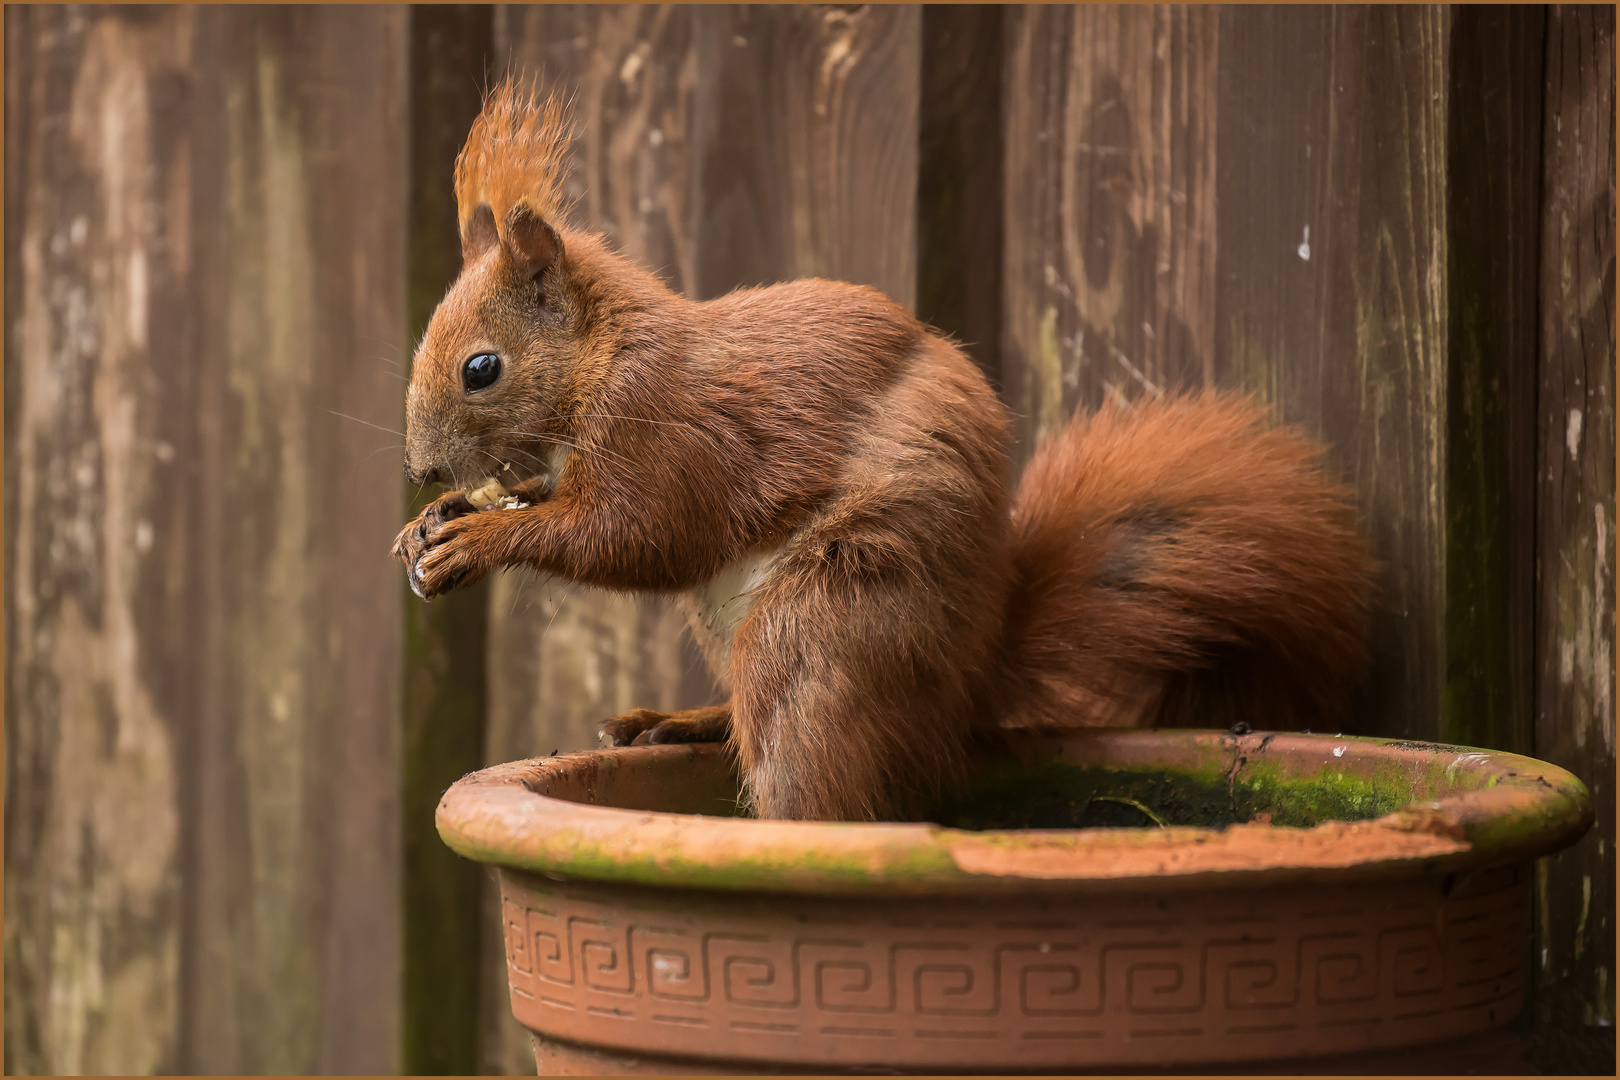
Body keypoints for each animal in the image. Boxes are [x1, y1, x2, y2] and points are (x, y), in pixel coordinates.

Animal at [388, 84, 1367, 822]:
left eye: (482, 368)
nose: (422, 470)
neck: (600, 362)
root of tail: (966, 683)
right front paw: (432, 523)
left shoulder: (666, 430)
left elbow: (634, 536)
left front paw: (477, 539)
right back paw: (686, 721)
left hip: (833, 616)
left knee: (820, 774)